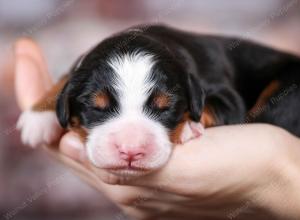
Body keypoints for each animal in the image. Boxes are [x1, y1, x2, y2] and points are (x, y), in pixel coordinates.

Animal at [17, 24, 300, 178]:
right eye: (97, 107)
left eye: (166, 108)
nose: (131, 150)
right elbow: (66, 78)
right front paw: (39, 116)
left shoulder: (228, 98)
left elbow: (212, 105)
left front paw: (188, 125)